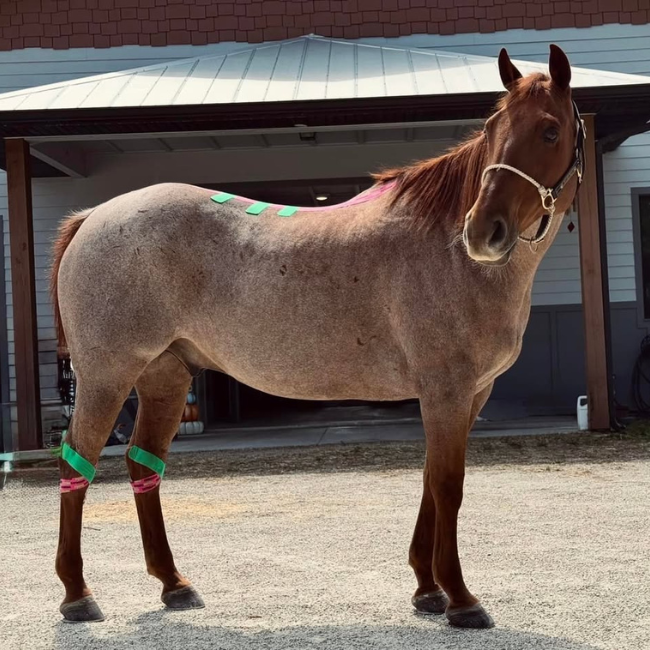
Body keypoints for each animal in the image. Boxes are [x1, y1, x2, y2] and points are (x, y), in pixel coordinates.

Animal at [50, 45, 584, 629]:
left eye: (550, 130)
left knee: (143, 462)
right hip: (106, 376)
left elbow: (429, 478)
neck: (446, 250)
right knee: (76, 461)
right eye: (492, 127)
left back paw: (174, 584)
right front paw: (461, 598)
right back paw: (77, 593)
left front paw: (427, 589)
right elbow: (448, 485)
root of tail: (94, 217)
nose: (482, 231)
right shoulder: (447, 390)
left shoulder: (469, 394)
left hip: (164, 378)